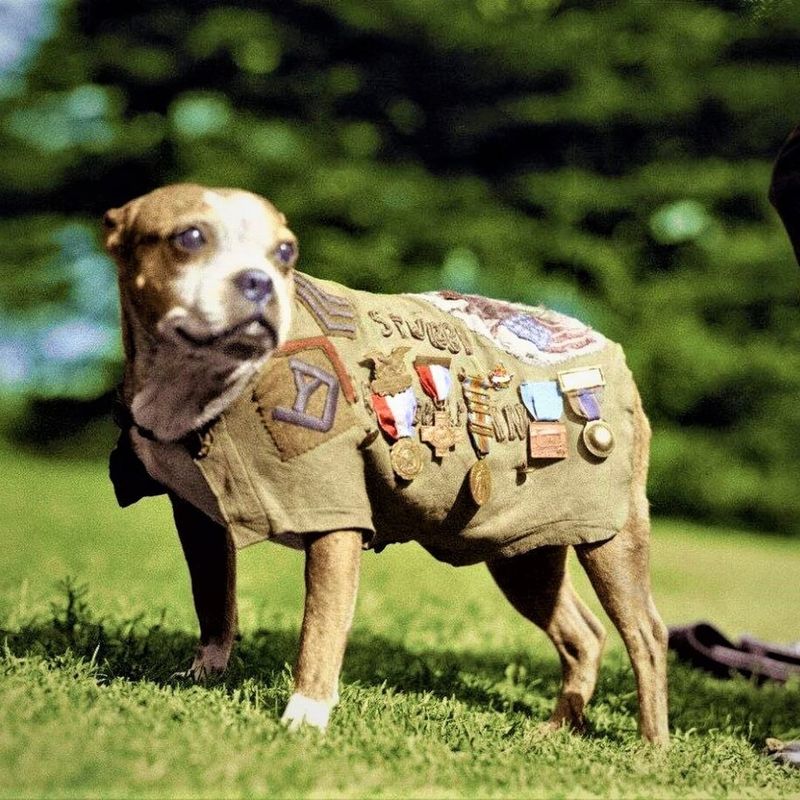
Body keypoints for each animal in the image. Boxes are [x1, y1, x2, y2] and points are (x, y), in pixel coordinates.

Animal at [104, 183, 668, 744]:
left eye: (285, 252)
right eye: (190, 237)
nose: (258, 281)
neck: (201, 385)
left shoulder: (334, 520)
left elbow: (320, 626)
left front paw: (305, 715)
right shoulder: (198, 519)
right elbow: (213, 600)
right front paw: (204, 674)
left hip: (611, 538)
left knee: (646, 636)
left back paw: (651, 746)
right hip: (523, 551)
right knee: (583, 634)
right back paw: (555, 728)